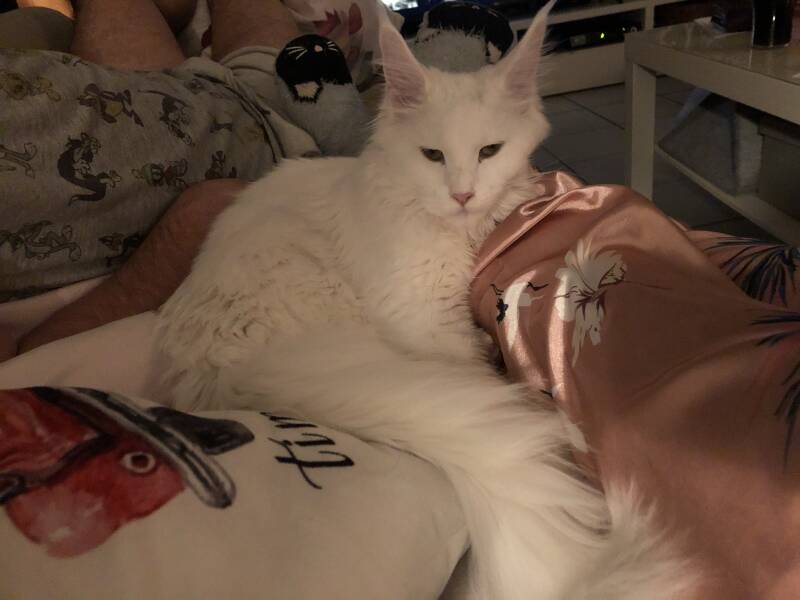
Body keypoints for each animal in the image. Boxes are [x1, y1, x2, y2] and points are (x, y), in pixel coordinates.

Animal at [157, 3, 694, 598]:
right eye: (432, 155)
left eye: (488, 151)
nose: (462, 193)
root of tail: (222, 369)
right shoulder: (423, 320)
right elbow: (469, 366)